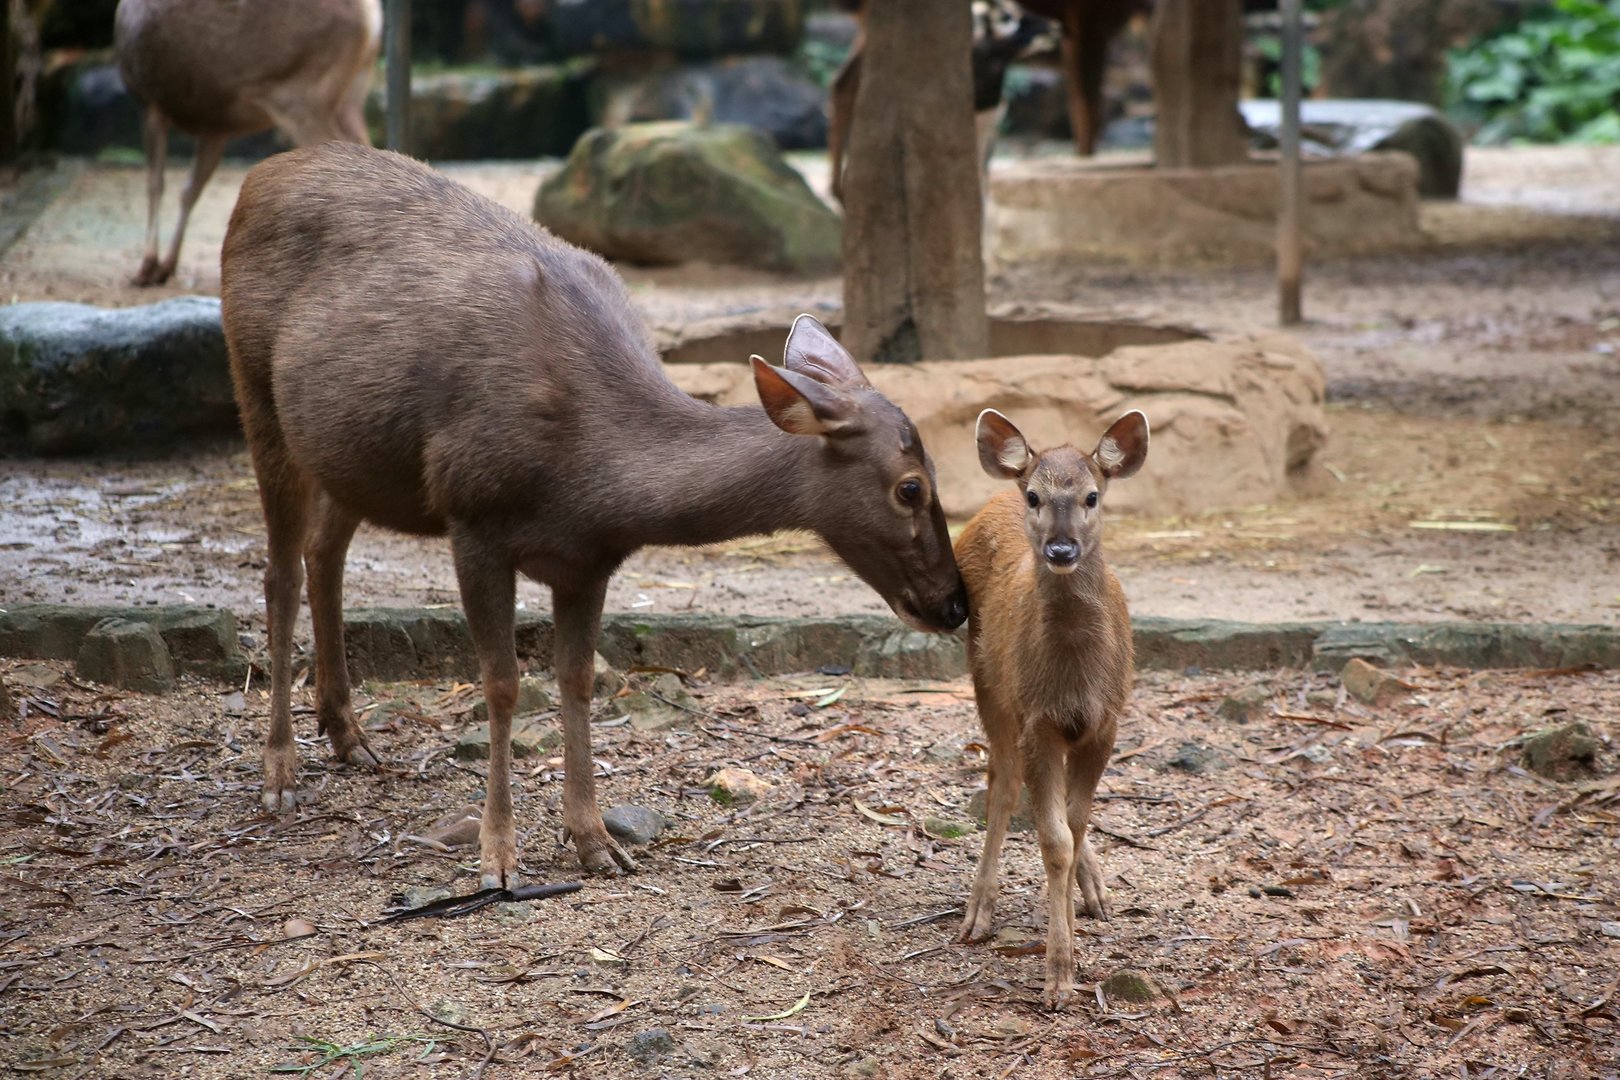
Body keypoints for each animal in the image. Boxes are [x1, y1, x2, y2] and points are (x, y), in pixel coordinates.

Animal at [114, 0, 381, 286]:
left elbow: (155, 183)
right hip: (352, 94)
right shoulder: (216, 126)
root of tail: (372, 18)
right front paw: (167, 266)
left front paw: (147, 266)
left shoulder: (150, 101)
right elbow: (190, 190)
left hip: (301, 95)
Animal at [220, 141, 968, 885]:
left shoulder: (589, 558)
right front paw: (498, 856)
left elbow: (577, 680)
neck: (589, 477)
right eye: (910, 488)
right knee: (280, 573)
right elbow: (502, 685)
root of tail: (258, 176)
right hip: (254, 386)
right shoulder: (473, 516)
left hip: (350, 456)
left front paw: (594, 840)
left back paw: (347, 733)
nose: (955, 604)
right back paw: (280, 772)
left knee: (325, 552)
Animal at [953, 407, 1149, 1010]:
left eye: (1092, 496)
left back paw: (1097, 893)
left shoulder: (1105, 722)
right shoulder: (1037, 721)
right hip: (990, 683)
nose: (1061, 550)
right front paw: (1059, 974)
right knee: (1001, 784)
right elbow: (1053, 838)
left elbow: (1074, 826)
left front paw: (1072, 943)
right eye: (1036, 497)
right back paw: (978, 911)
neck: (1074, 679)